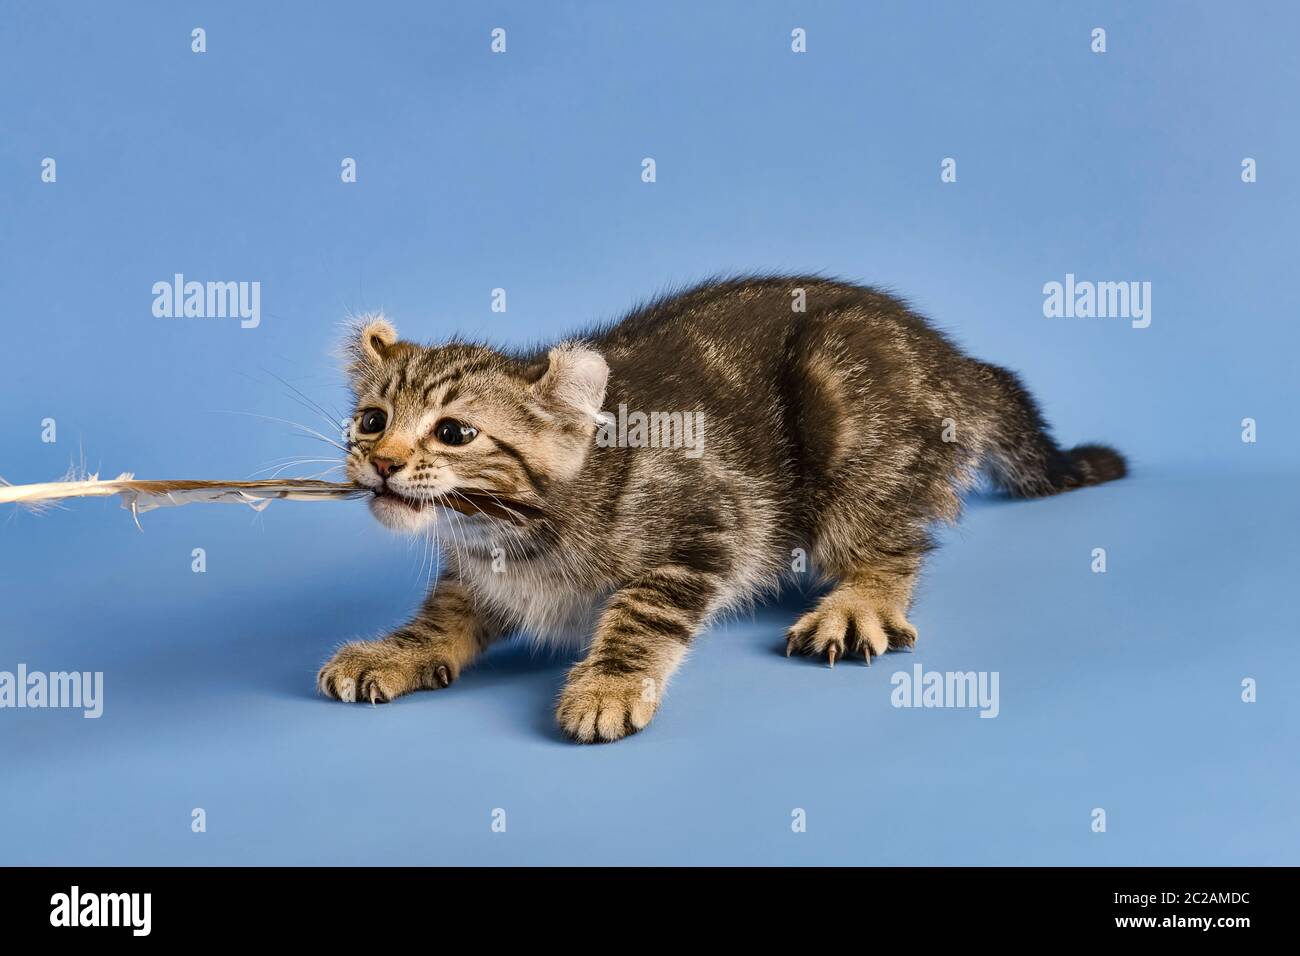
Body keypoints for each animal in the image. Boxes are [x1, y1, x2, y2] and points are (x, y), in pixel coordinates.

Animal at [319, 274, 1123, 738]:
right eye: (372, 420)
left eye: (455, 433)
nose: (382, 463)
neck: (506, 534)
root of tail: (952, 361)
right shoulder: (478, 570)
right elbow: (447, 611)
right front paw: (398, 648)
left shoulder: (711, 523)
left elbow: (644, 608)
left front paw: (610, 682)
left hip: (849, 410)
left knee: (890, 538)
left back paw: (857, 600)